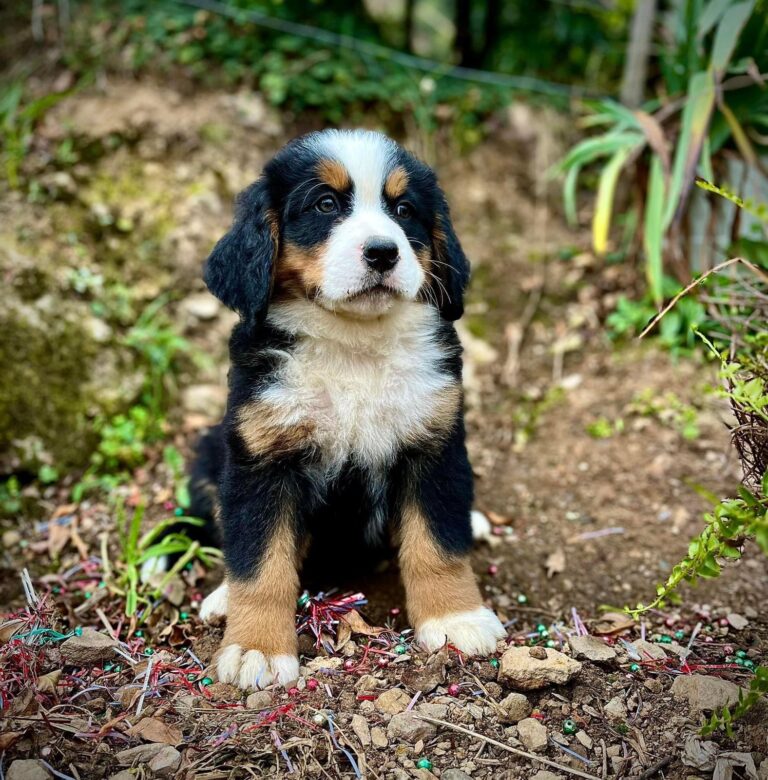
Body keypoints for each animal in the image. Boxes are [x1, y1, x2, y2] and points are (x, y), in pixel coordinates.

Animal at [186, 128, 508, 688]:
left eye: (403, 209)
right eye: (326, 204)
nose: (382, 252)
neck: (354, 346)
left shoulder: (435, 444)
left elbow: (439, 543)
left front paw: (456, 617)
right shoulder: (262, 457)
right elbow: (258, 561)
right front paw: (256, 648)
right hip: (211, 452)